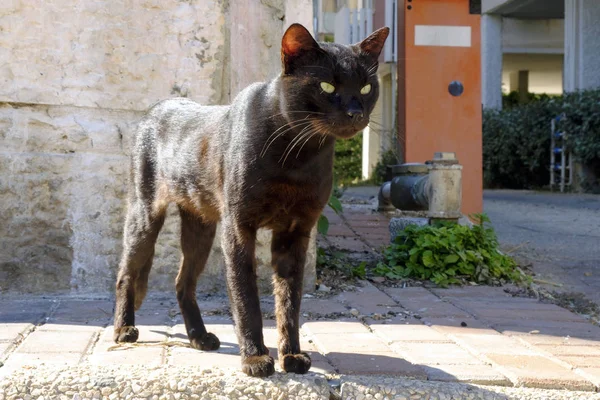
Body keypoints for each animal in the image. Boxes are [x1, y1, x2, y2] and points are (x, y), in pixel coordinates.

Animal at [113, 22, 390, 378]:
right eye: (327, 86)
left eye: (367, 87)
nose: (356, 112)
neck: (298, 157)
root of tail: (158, 106)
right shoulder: (239, 228)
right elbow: (247, 299)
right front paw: (255, 358)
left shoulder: (295, 233)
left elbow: (289, 303)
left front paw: (291, 355)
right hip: (145, 215)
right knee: (127, 273)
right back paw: (124, 328)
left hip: (200, 228)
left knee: (182, 282)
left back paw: (200, 337)